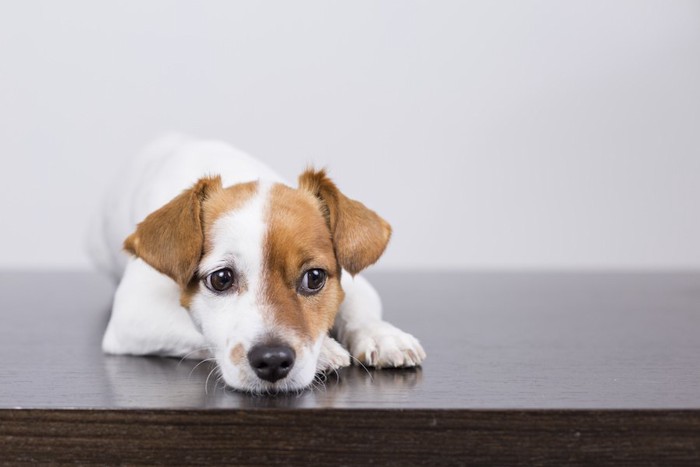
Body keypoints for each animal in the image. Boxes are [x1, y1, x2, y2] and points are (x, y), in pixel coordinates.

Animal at [89, 135, 426, 394]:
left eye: (314, 277)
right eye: (221, 279)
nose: (273, 360)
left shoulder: (355, 283)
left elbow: (357, 308)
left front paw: (382, 334)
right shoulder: (135, 312)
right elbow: (199, 330)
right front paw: (326, 351)